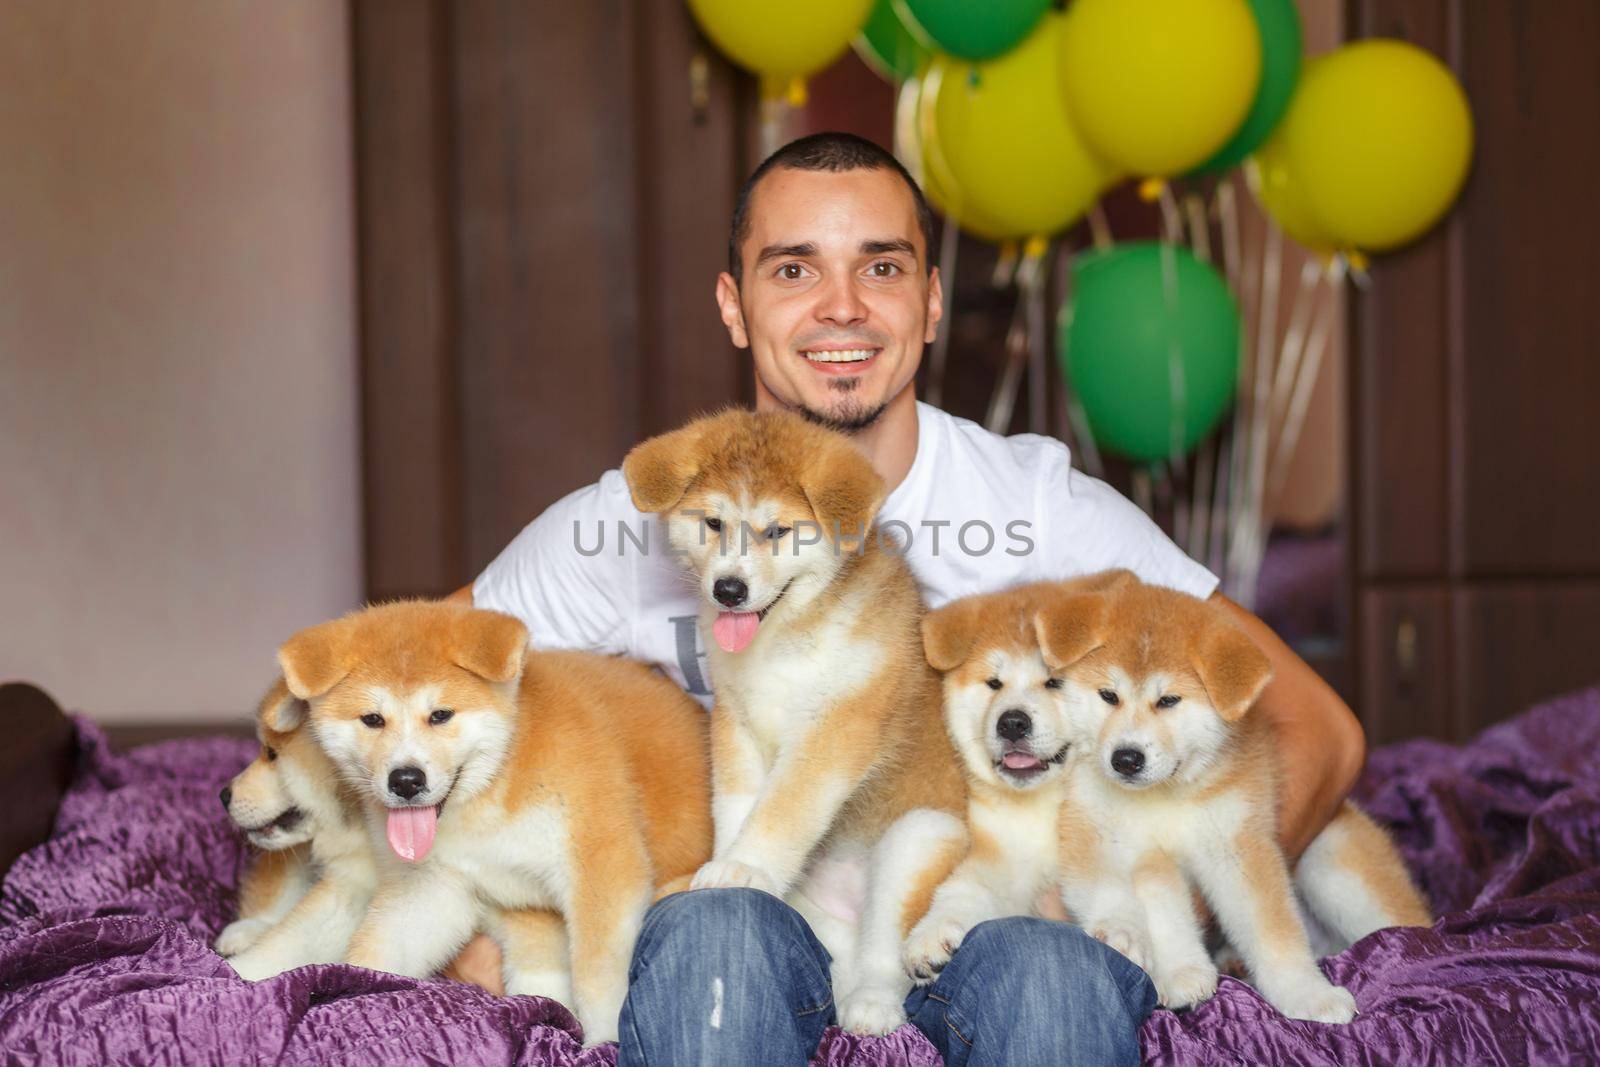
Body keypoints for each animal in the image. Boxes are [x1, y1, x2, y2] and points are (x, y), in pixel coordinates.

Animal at [281, 604, 713, 1049]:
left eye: (440, 715)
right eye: (372, 719)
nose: (406, 780)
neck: (497, 783)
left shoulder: (601, 864)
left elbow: (600, 979)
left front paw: (605, 1041)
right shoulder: (436, 885)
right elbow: (380, 950)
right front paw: (351, 988)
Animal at [624, 409, 966, 1036]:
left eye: (778, 532)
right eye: (714, 523)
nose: (728, 589)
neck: (787, 638)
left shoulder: (836, 727)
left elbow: (783, 809)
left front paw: (746, 865)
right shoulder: (736, 724)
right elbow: (738, 808)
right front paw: (726, 866)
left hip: (917, 838)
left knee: (886, 950)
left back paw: (872, 1004)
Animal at [1043, 575, 1433, 1023]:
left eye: (1168, 700)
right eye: (1108, 695)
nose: (1125, 759)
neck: (1168, 797)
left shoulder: (1237, 844)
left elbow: (1273, 932)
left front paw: (1306, 993)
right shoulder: (1110, 838)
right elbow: (1158, 904)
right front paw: (1181, 971)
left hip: (1336, 865)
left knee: (1400, 921)